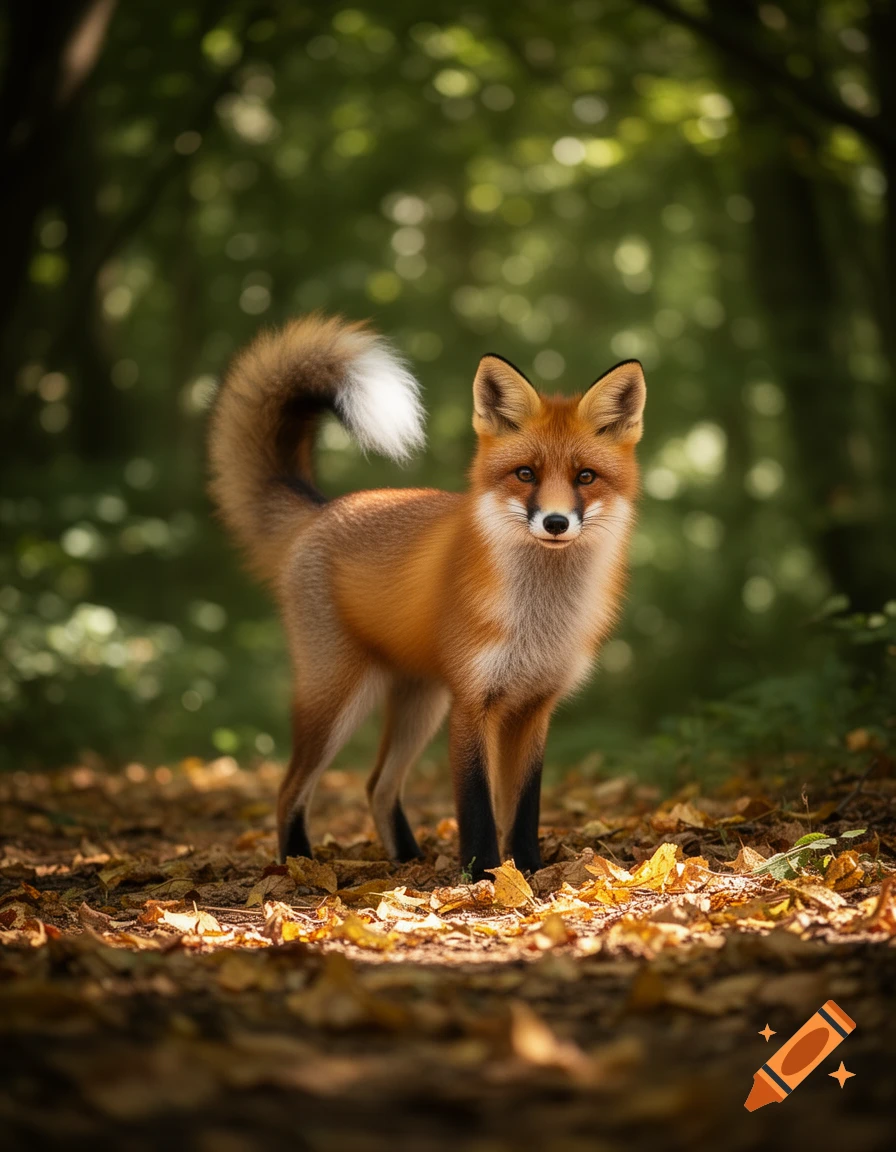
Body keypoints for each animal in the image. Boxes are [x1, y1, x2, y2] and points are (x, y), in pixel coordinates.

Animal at [208, 313, 645, 880]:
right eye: (525, 473)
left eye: (585, 477)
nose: (554, 522)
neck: (538, 618)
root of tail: (324, 508)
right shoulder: (472, 702)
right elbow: (477, 805)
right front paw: (483, 877)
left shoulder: (534, 706)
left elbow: (523, 806)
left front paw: (527, 871)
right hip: (339, 700)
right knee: (288, 790)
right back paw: (300, 867)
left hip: (419, 703)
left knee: (377, 786)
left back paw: (409, 863)